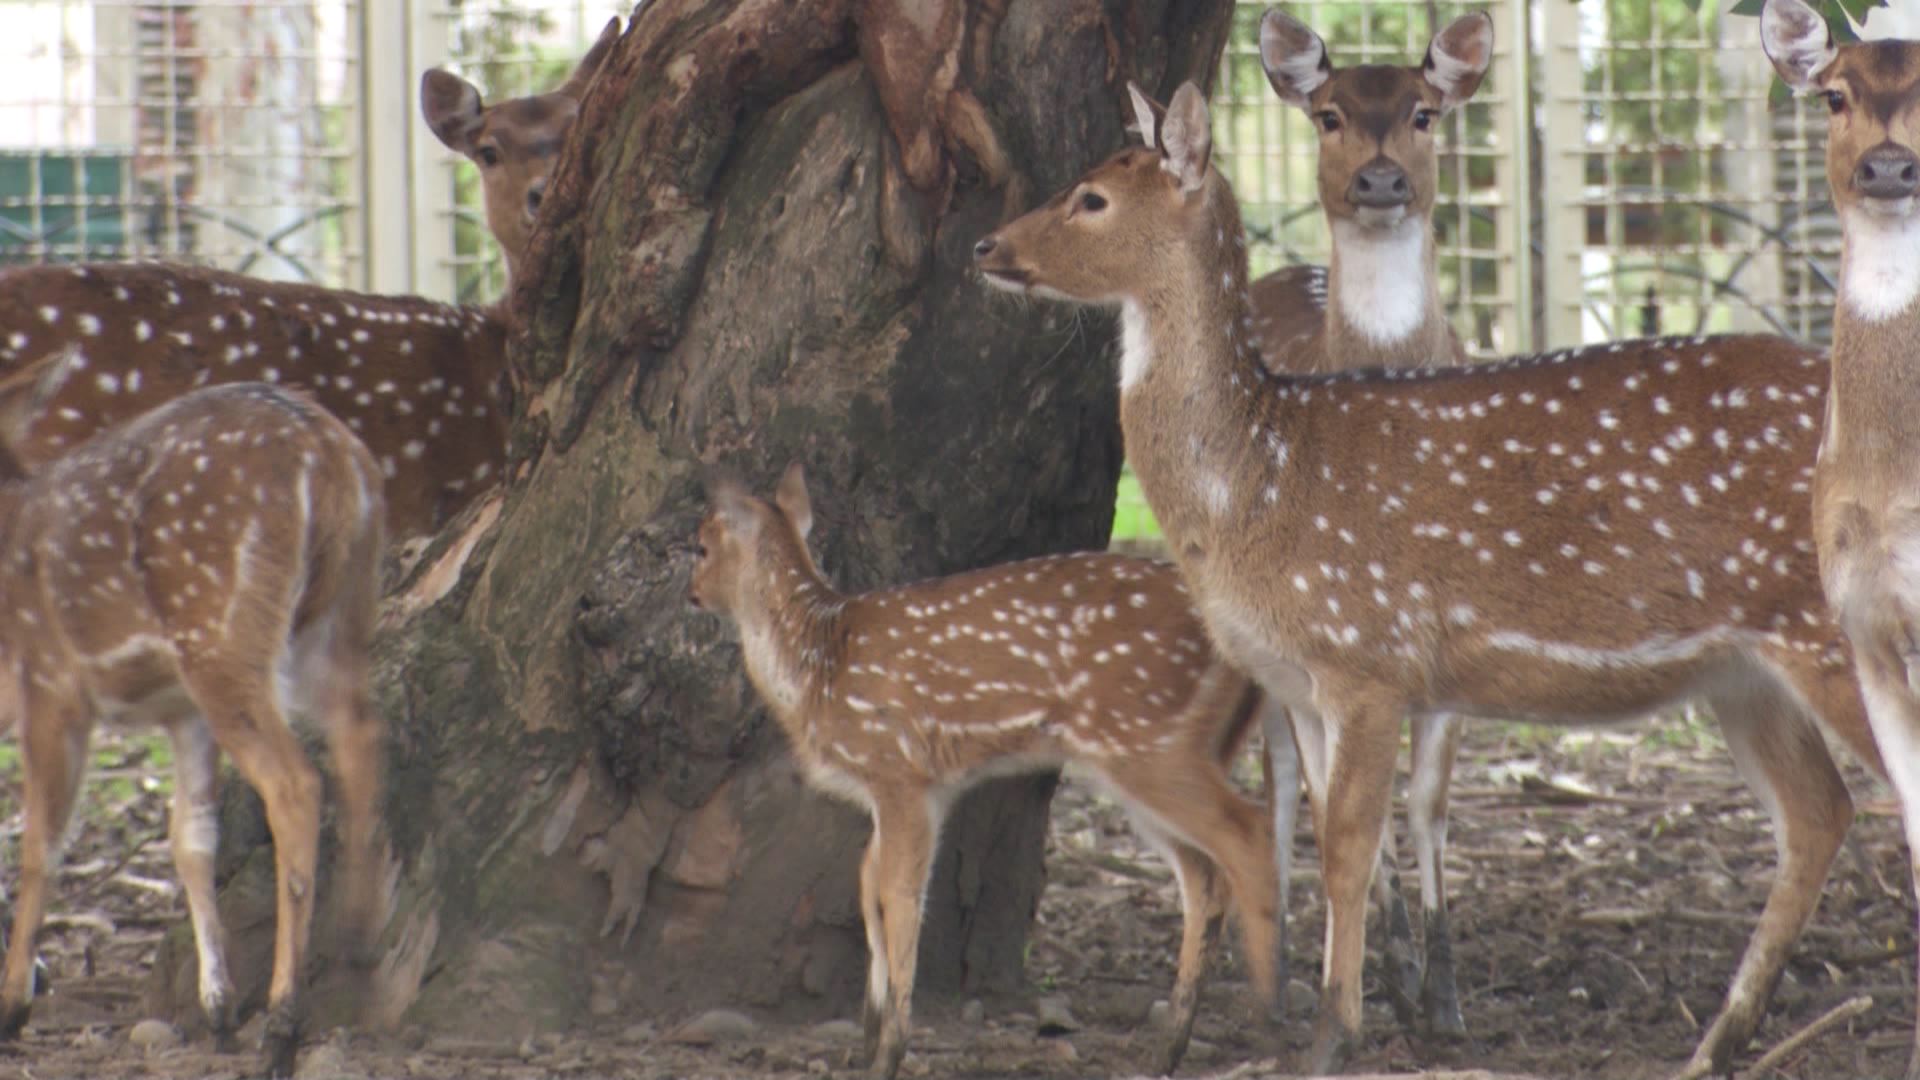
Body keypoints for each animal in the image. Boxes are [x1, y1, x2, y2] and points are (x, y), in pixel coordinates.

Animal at [0, 372, 388, 1080]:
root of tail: (329, 453)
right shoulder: (180, 712)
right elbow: (191, 839)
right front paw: (219, 1009)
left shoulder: (51, 681)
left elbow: (42, 840)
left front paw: (14, 1004)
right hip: (341, 614)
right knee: (361, 737)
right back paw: (359, 940)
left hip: (222, 630)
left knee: (296, 782)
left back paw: (283, 1025)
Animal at [691, 464, 1283, 1080]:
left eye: (700, 546)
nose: (692, 593)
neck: (817, 667)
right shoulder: (916, 791)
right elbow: (867, 884)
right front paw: (871, 1033)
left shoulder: (899, 770)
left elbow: (899, 894)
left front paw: (890, 1049)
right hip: (1155, 752)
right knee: (1205, 875)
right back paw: (1169, 1045)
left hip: (1147, 739)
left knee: (1249, 833)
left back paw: (1268, 1014)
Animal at [973, 80, 1892, 1078]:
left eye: (1091, 198)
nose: (986, 247)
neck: (1258, 482)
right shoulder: (1306, 679)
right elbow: (1335, 841)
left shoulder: (1367, 653)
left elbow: (1349, 847)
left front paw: (1335, 1037)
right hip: (1740, 669)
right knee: (1819, 812)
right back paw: (1716, 1042)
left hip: (1834, 631)